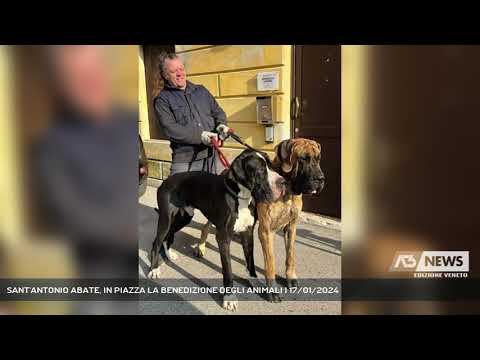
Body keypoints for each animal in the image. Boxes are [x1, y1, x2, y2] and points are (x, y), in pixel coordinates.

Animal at [148, 148, 286, 310]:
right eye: (260, 170)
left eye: (271, 165)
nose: (283, 182)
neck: (241, 196)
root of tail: (166, 180)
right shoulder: (223, 238)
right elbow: (228, 270)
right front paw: (229, 298)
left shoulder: (247, 233)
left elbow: (250, 260)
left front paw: (255, 281)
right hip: (166, 218)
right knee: (157, 241)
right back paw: (154, 269)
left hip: (184, 216)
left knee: (168, 235)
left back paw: (170, 255)